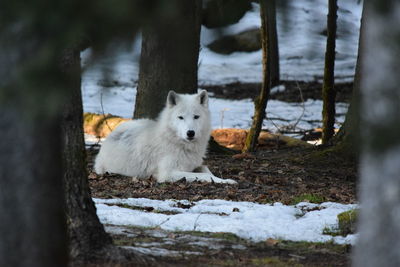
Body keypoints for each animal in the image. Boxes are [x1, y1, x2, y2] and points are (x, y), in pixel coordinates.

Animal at [94, 90, 238, 184]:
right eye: (181, 117)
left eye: (196, 116)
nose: (190, 133)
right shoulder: (167, 174)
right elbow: (204, 175)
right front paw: (226, 181)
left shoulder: (195, 165)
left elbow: (205, 169)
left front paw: (224, 179)